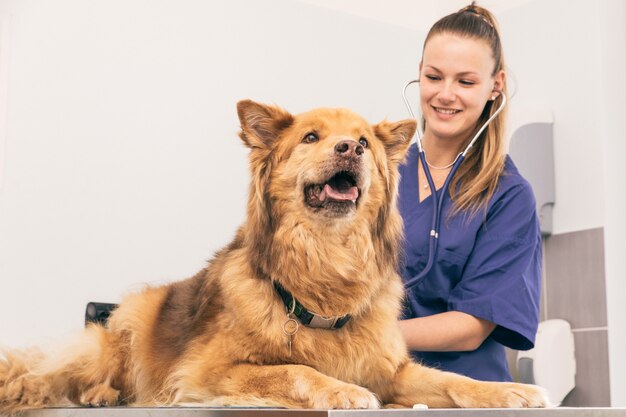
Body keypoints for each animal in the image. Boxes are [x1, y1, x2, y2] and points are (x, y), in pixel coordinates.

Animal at [0, 100, 544, 410]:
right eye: (311, 137)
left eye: (364, 142)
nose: (349, 149)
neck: (326, 265)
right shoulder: (209, 372)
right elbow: (296, 369)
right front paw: (342, 390)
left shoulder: (394, 372)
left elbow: (453, 379)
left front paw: (509, 391)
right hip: (118, 339)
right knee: (64, 375)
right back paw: (88, 392)